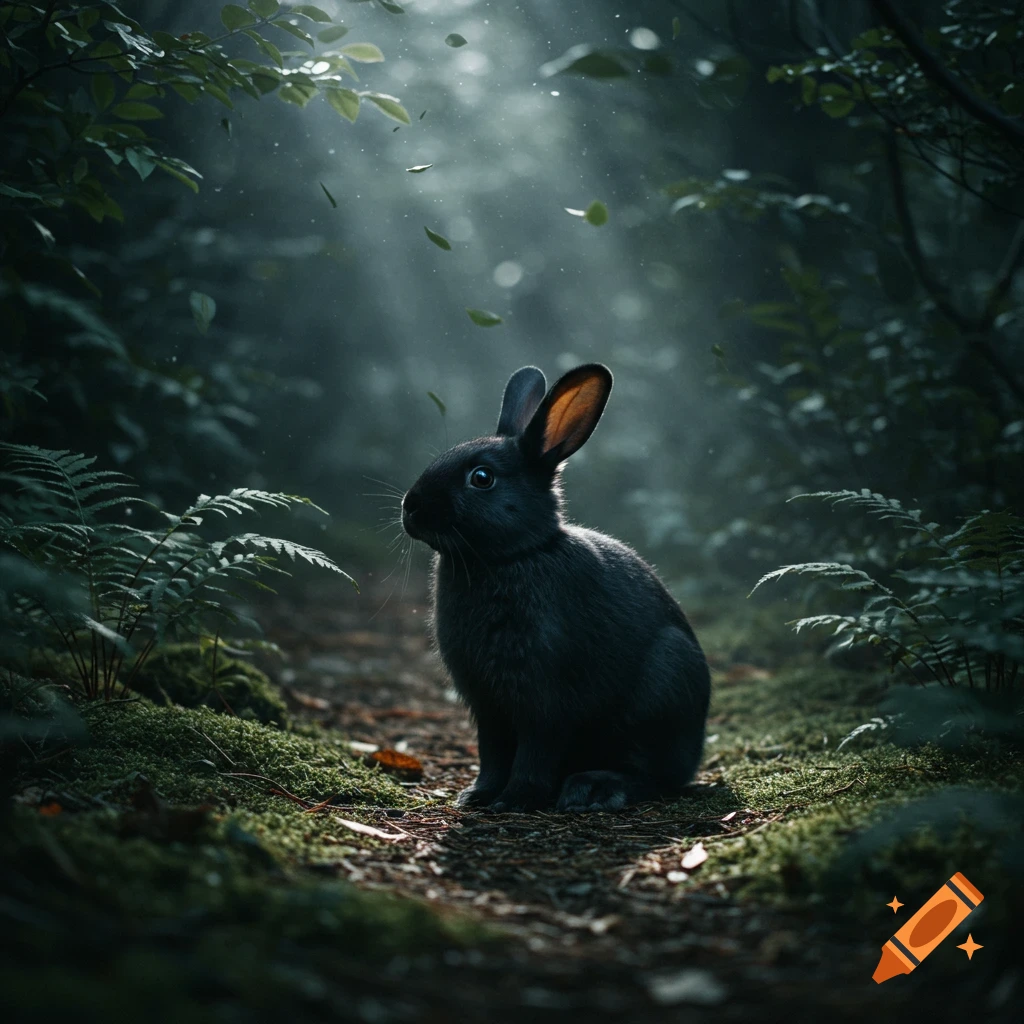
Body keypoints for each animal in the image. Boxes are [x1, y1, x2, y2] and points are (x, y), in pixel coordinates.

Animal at [401, 363, 710, 812]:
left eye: (482, 478)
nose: (410, 507)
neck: (511, 557)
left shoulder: (545, 699)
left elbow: (536, 752)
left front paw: (514, 800)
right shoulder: (488, 706)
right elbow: (492, 754)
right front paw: (476, 796)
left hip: (662, 689)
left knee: (651, 775)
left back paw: (595, 789)